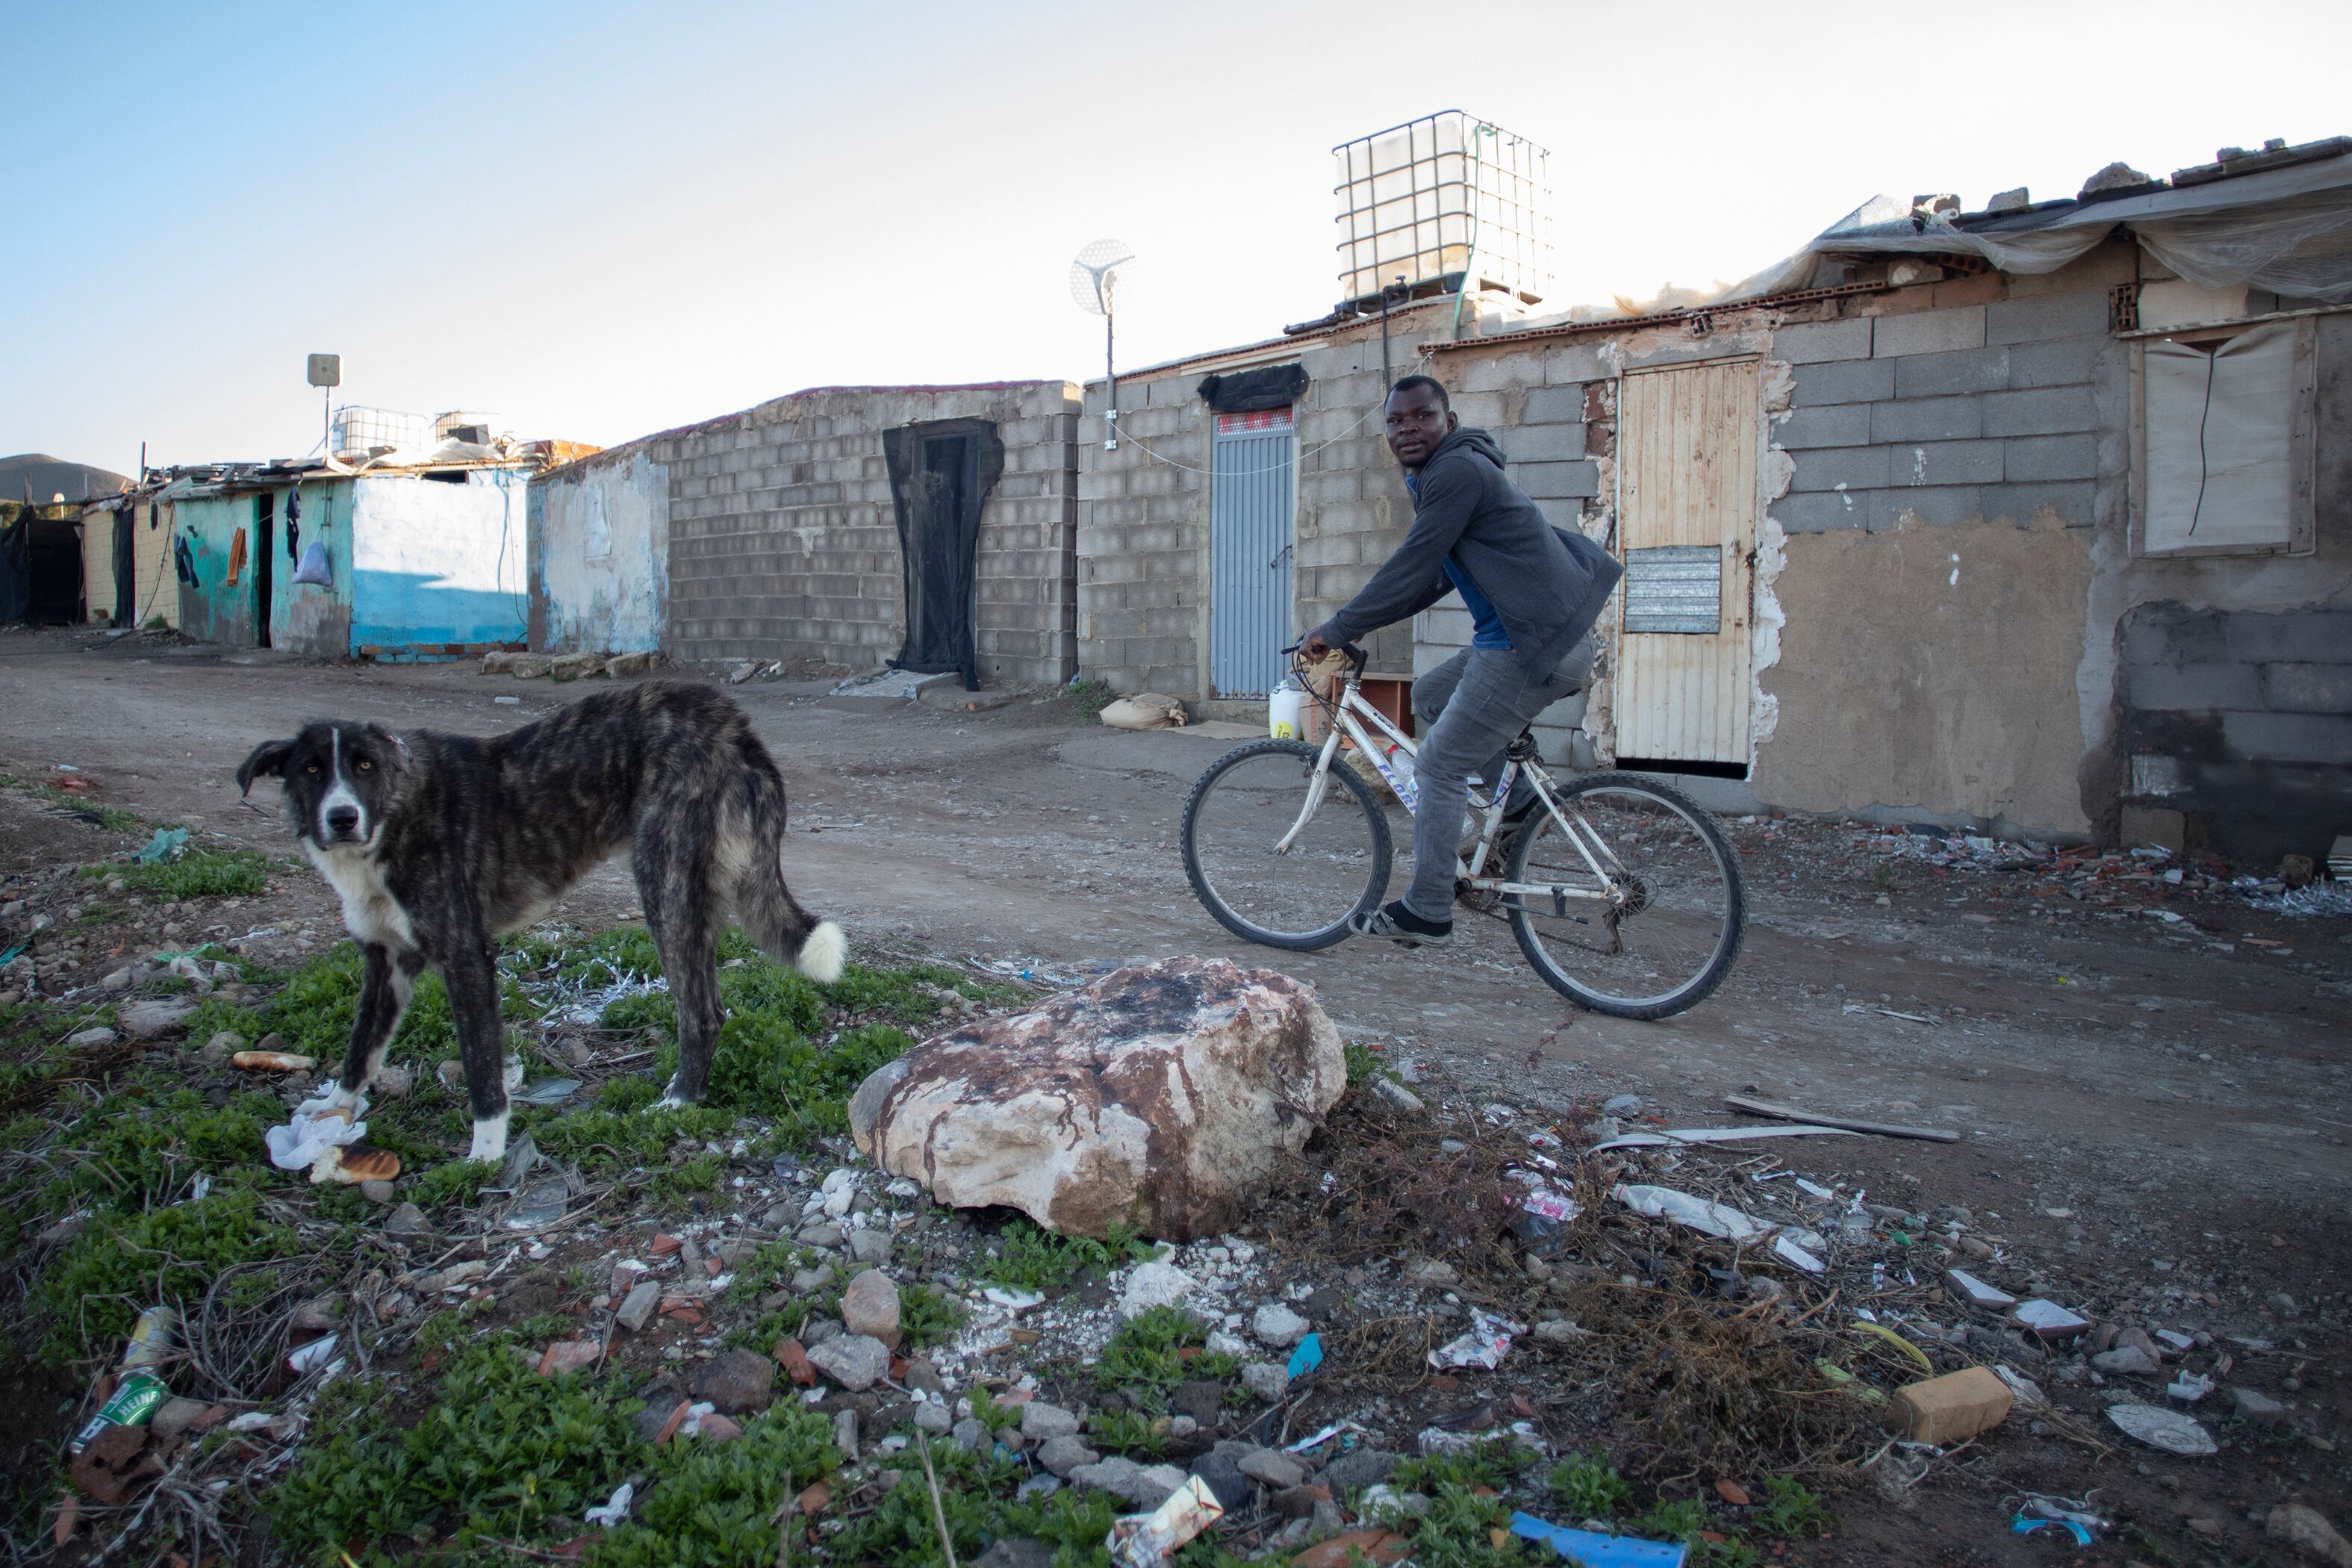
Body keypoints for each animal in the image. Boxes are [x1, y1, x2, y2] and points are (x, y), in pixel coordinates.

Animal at [236, 682, 847, 1161]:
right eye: (311, 771)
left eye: (365, 766)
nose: (342, 817)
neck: (395, 813)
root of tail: (734, 730)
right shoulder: (386, 962)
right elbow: (360, 1049)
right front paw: (333, 1111)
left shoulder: (466, 957)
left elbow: (481, 1068)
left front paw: (484, 1156)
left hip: (666, 893)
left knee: (702, 1014)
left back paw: (677, 1102)